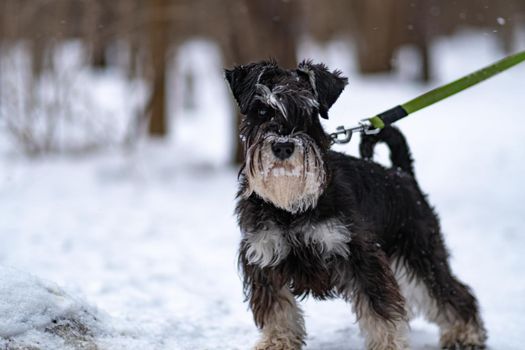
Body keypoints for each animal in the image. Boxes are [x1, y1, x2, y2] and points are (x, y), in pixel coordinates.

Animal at [225, 60, 488, 350]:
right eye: (262, 110)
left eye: (309, 112)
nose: (283, 146)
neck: (290, 208)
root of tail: (402, 173)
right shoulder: (264, 258)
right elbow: (277, 311)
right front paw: (277, 342)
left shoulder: (360, 255)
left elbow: (380, 310)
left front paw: (388, 345)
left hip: (420, 252)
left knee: (450, 293)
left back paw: (465, 334)